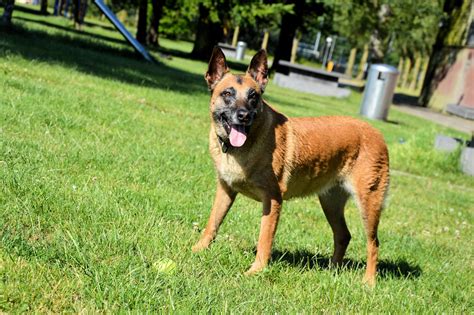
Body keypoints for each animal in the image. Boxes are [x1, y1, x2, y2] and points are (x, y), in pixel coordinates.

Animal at [193, 47, 388, 286]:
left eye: (253, 96)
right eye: (227, 94)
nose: (244, 116)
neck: (244, 145)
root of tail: (378, 134)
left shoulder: (272, 200)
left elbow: (265, 239)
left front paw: (256, 271)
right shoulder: (225, 190)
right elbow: (212, 223)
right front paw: (197, 250)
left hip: (368, 205)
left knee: (373, 243)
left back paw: (368, 281)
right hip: (330, 203)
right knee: (343, 235)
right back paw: (332, 270)